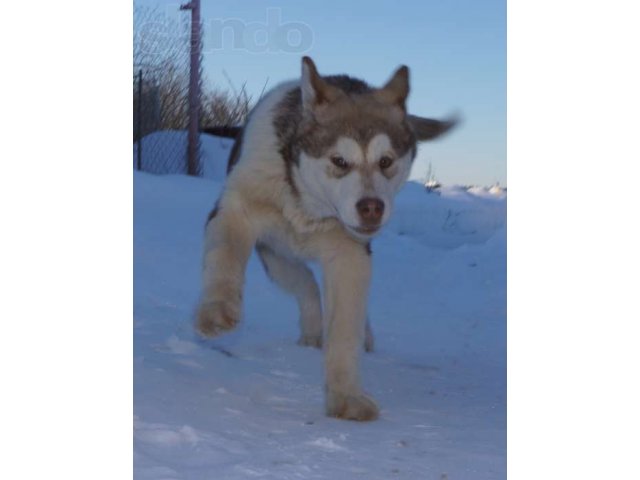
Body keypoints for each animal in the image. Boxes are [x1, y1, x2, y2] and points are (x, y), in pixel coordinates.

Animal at [198, 57, 458, 420]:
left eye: (386, 161)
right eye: (339, 161)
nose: (371, 208)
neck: (308, 209)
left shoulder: (350, 256)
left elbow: (345, 331)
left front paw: (345, 397)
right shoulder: (238, 215)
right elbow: (225, 257)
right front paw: (217, 310)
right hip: (277, 255)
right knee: (306, 284)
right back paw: (310, 328)